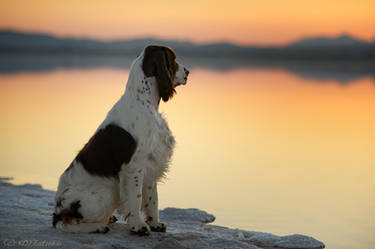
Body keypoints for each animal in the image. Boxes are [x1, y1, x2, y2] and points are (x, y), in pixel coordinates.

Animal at [53, 44, 189, 235]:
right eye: (173, 59)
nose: (188, 72)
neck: (144, 101)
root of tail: (57, 208)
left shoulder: (151, 162)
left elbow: (152, 199)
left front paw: (155, 224)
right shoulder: (135, 167)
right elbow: (136, 198)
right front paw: (139, 226)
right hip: (105, 192)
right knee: (64, 223)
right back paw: (98, 226)